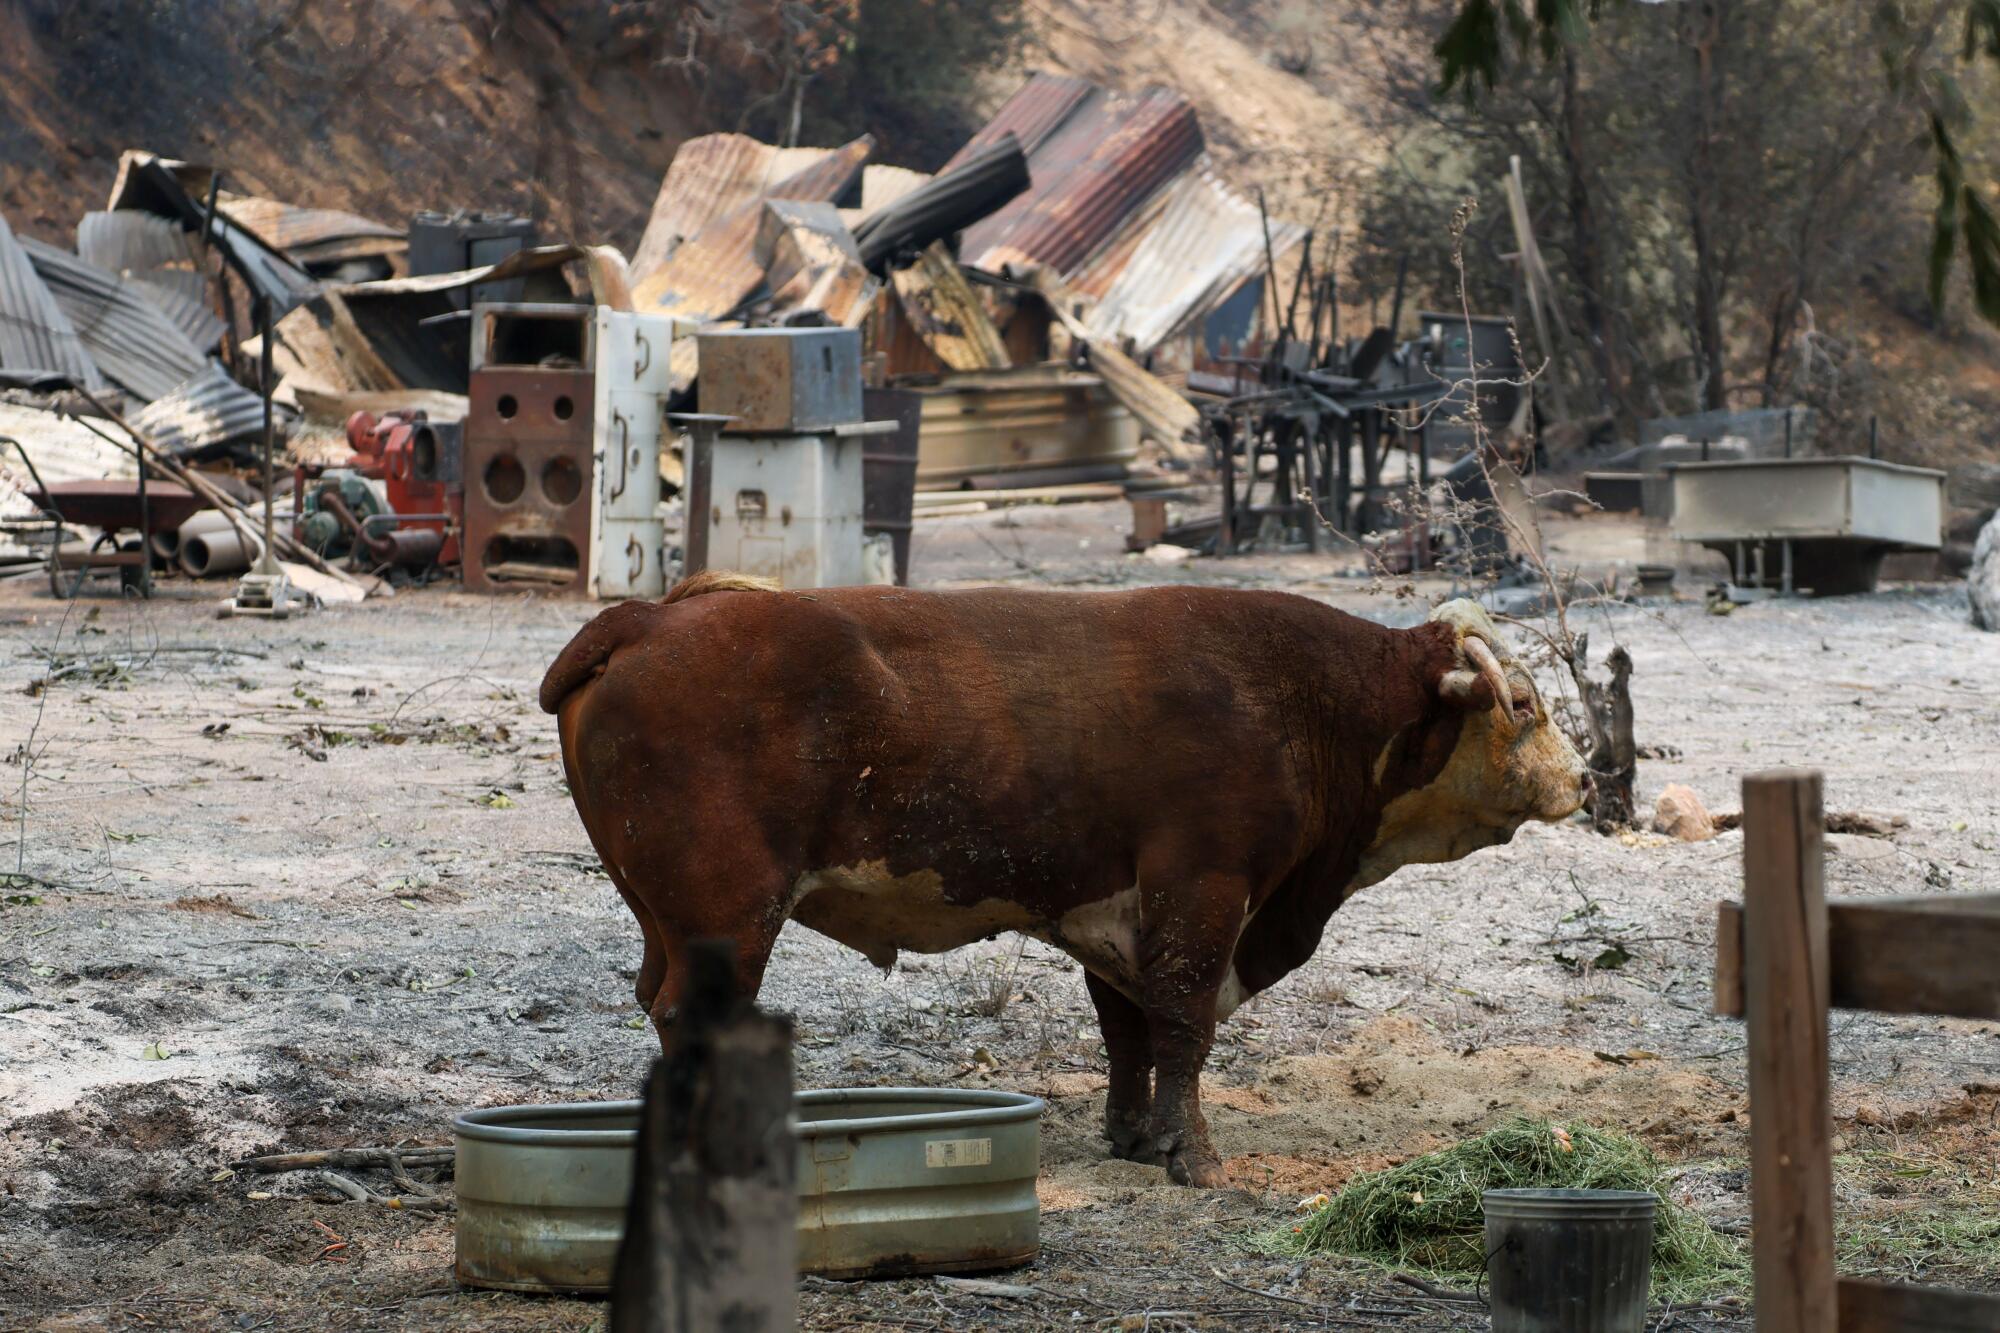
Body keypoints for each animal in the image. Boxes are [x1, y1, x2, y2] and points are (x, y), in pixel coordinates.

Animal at [540, 572, 1584, 1184]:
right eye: (1523, 704)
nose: (1581, 781)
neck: (1300, 698)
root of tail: (649, 617)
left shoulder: (1112, 910)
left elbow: (1129, 1031)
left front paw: (1134, 1134)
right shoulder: (1201, 892)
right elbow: (1183, 1027)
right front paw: (1192, 1156)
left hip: (664, 918)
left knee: (655, 1002)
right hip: (729, 914)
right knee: (688, 1015)